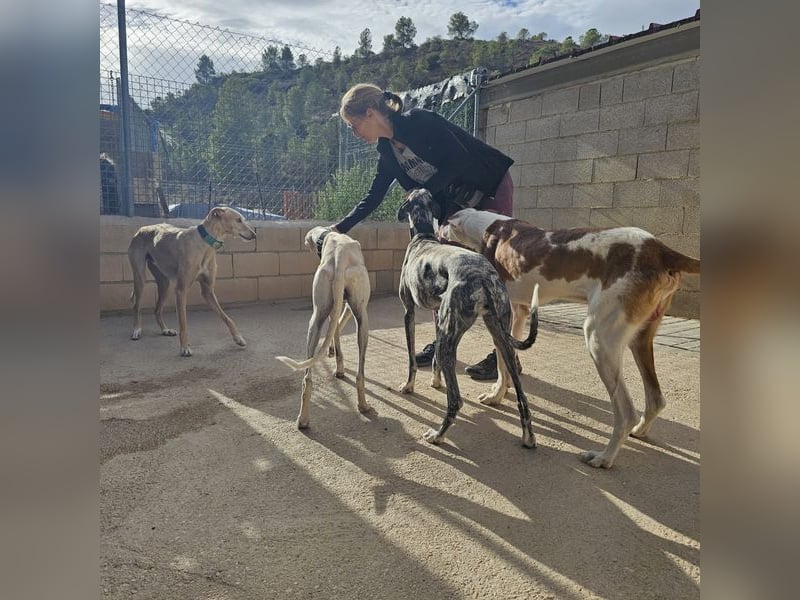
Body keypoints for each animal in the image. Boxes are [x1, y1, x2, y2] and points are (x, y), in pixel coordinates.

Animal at [396, 190, 540, 448]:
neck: (424, 238)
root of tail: (483, 277)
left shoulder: (408, 312)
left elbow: (411, 359)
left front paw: (408, 386)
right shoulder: (437, 314)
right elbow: (434, 360)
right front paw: (436, 381)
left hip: (451, 340)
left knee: (456, 400)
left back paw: (438, 435)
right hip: (499, 337)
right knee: (521, 396)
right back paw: (528, 438)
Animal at [444, 210, 700, 468]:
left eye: (445, 221)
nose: (437, 229)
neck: (487, 226)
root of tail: (659, 249)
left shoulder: (498, 316)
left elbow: (500, 361)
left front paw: (495, 395)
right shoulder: (519, 312)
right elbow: (507, 362)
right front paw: (500, 392)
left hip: (599, 339)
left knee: (626, 412)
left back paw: (603, 457)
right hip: (639, 339)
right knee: (656, 399)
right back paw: (638, 431)